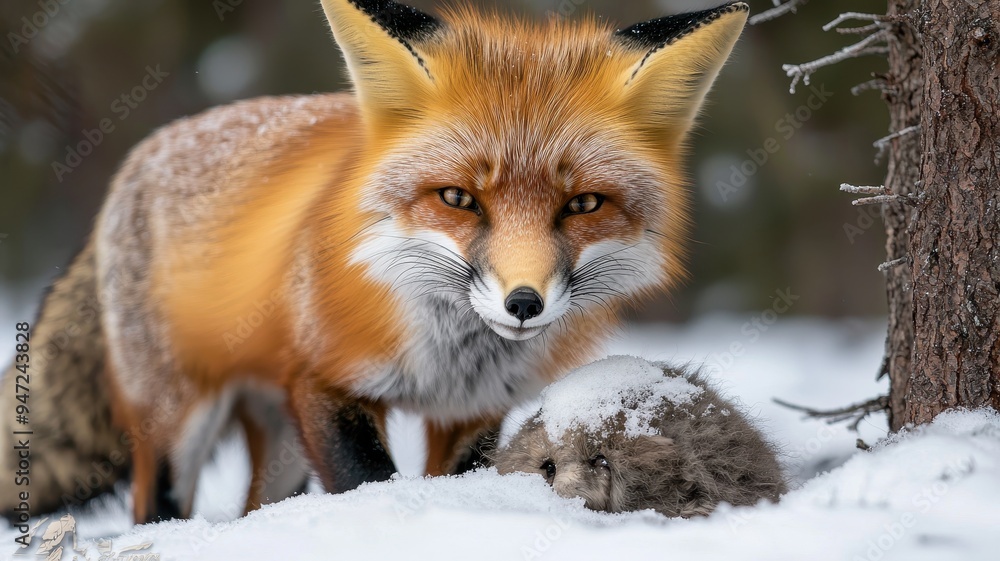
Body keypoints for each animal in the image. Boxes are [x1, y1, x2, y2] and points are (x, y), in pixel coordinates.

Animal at [1, 0, 749, 525]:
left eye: (584, 204)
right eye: (458, 198)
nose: (523, 302)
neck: (448, 355)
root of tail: (138, 159)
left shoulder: (473, 411)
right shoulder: (325, 385)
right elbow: (368, 482)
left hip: (276, 437)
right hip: (178, 417)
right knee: (154, 507)